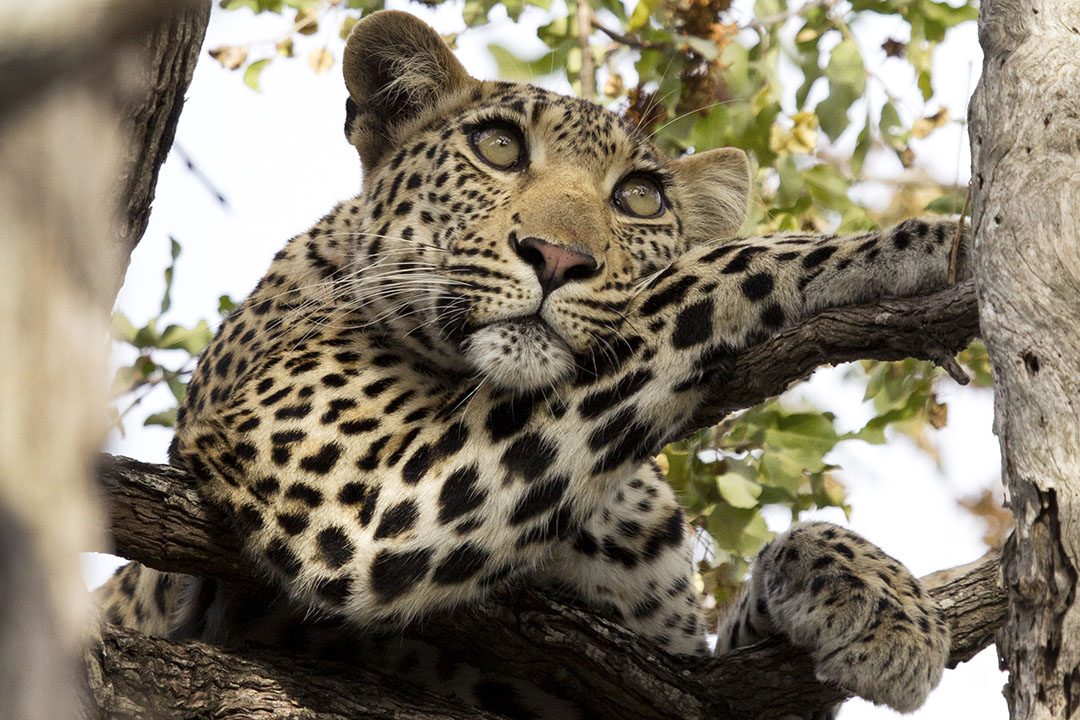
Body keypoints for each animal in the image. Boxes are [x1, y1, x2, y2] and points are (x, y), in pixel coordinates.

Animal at [98, 9, 964, 718]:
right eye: (499, 148)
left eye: (640, 197)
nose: (558, 257)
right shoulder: (359, 497)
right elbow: (694, 281)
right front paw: (896, 245)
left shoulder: (671, 682)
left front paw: (880, 598)